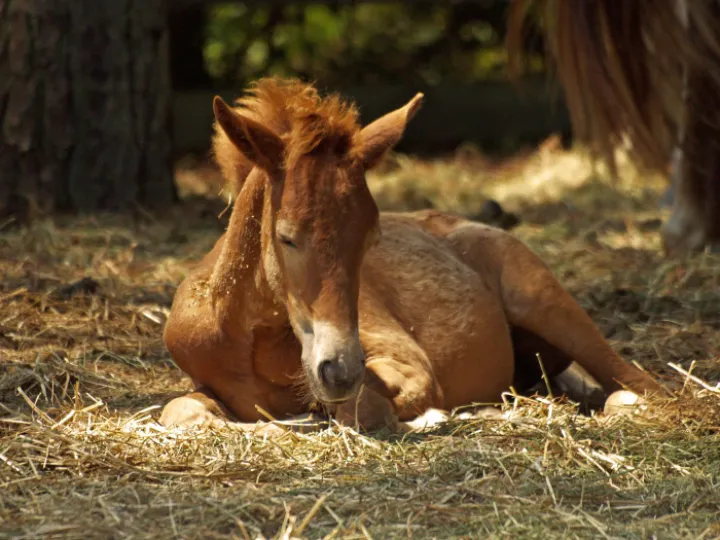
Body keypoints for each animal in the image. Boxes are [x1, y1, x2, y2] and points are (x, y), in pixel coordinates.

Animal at [159, 78, 666, 433]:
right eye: (286, 237)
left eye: (370, 238)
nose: (340, 371)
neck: (249, 340)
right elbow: (180, 411)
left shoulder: (406, 364)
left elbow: (366, 409)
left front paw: (432, 416)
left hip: (546, 303)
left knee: (640, 384)